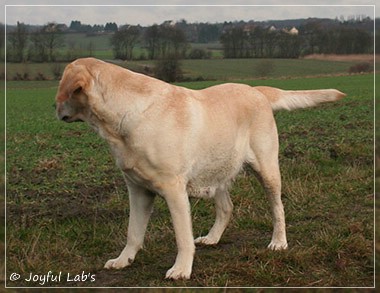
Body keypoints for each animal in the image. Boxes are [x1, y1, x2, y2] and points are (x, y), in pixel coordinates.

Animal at [55, 57, 344, 278]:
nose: (53, 107)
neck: (122, 119)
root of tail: (256, 90)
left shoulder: (173, 189)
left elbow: (182, 236)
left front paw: (181, 270)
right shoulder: (137, 190)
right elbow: (133, 232)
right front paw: (123, 260)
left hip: (267, 168)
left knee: (277, 207)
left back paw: (278, 242)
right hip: (216, 167)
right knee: (227, 207)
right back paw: (213, 238)